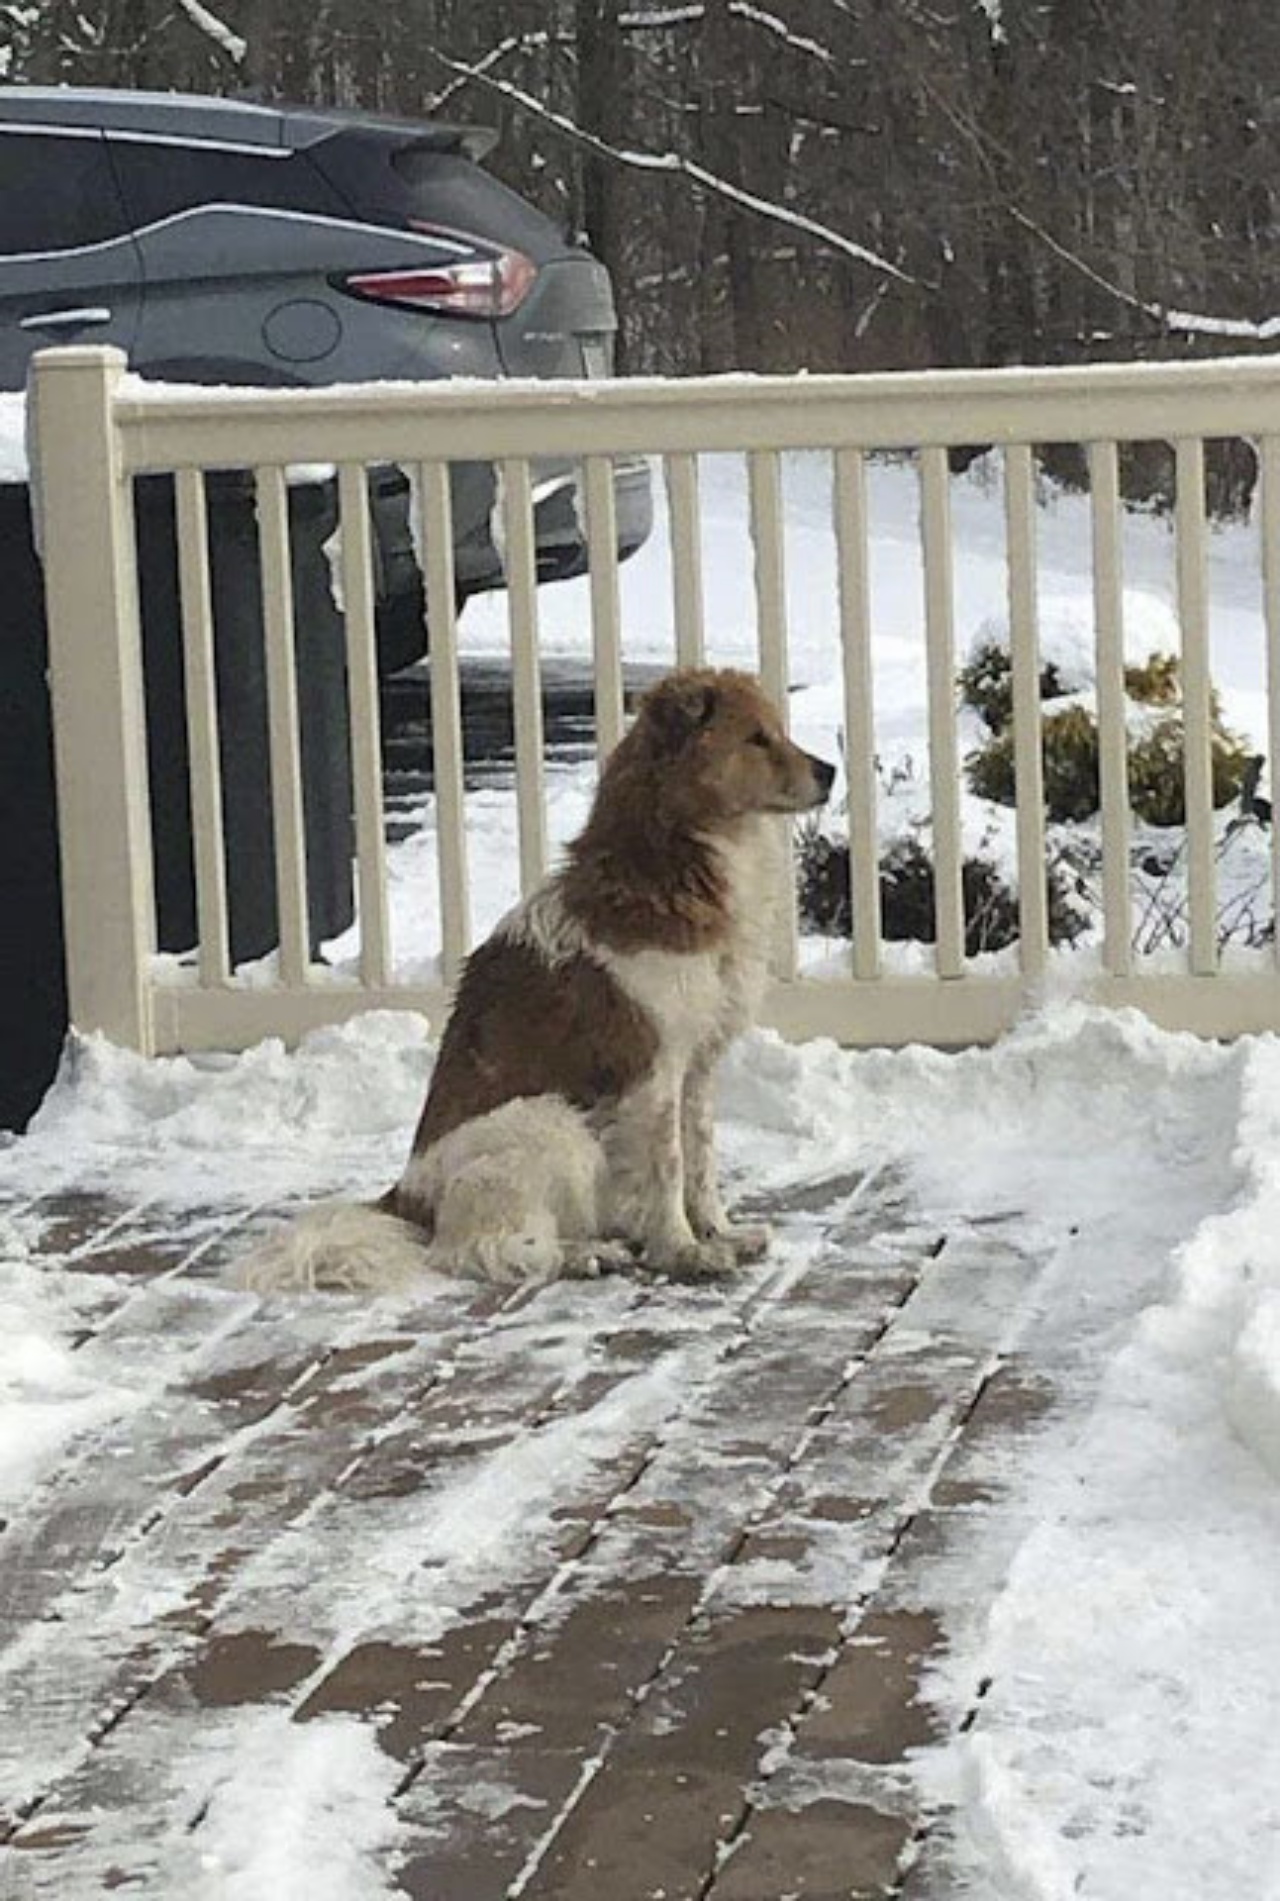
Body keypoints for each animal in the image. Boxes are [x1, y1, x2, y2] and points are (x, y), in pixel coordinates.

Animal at [240, 661, 833, 1300]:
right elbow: (670, 1168)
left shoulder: (698, 1065)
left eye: (777, 731)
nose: (829, 771)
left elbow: (701, 1162)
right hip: (548, 1123)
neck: (672, 863)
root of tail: (407, 1200)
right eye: (756, 739)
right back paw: (586, 1254)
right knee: (478, 1250)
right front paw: (683, 1250)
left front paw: (719, 1232)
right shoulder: (654, 1070)